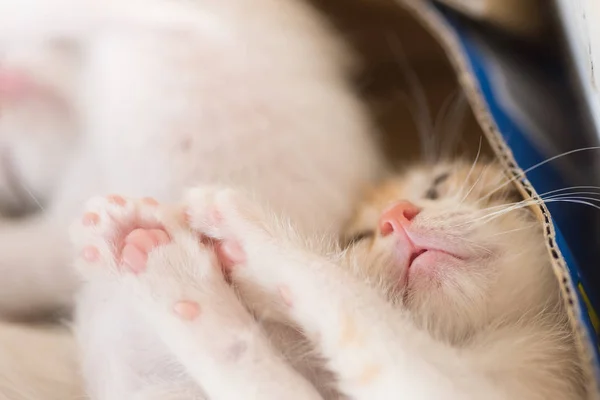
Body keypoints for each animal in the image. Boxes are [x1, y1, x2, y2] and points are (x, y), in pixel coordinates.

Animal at [68, 160, 584, 400]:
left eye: (438, 184)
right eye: (360, 236)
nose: (395, 216)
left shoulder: (440, 386)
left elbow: (348, 296)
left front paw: (248, 233)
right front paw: (162, 269)